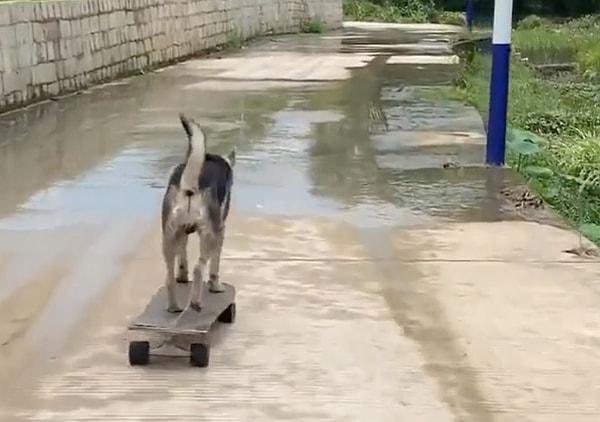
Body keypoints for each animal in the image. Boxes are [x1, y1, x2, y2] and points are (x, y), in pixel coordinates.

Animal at [162, 113, 237, 312]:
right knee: (199, 268)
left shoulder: (181, 234)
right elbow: (214, 267)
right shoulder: (221, 230)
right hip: (209, 235)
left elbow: (182, 260)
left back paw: (174, 306)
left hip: (168, 236)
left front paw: (182, 276)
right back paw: (195, 302)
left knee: (169, 278)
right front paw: (215, 286)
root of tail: (189, 187)